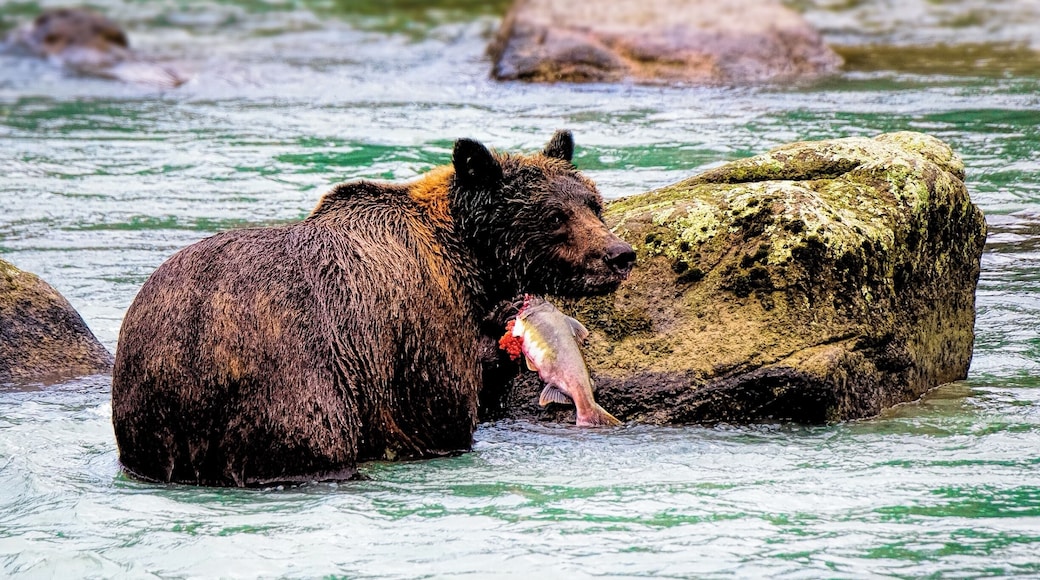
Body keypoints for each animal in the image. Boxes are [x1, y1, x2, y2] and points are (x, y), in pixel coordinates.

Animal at [111, 130, 636, 486]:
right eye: (554, 216)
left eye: (593, 204)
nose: (619, 254)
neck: (466, 259)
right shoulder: (417, 325)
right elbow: (439, 410)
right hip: (286, 379)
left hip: (149, 391)